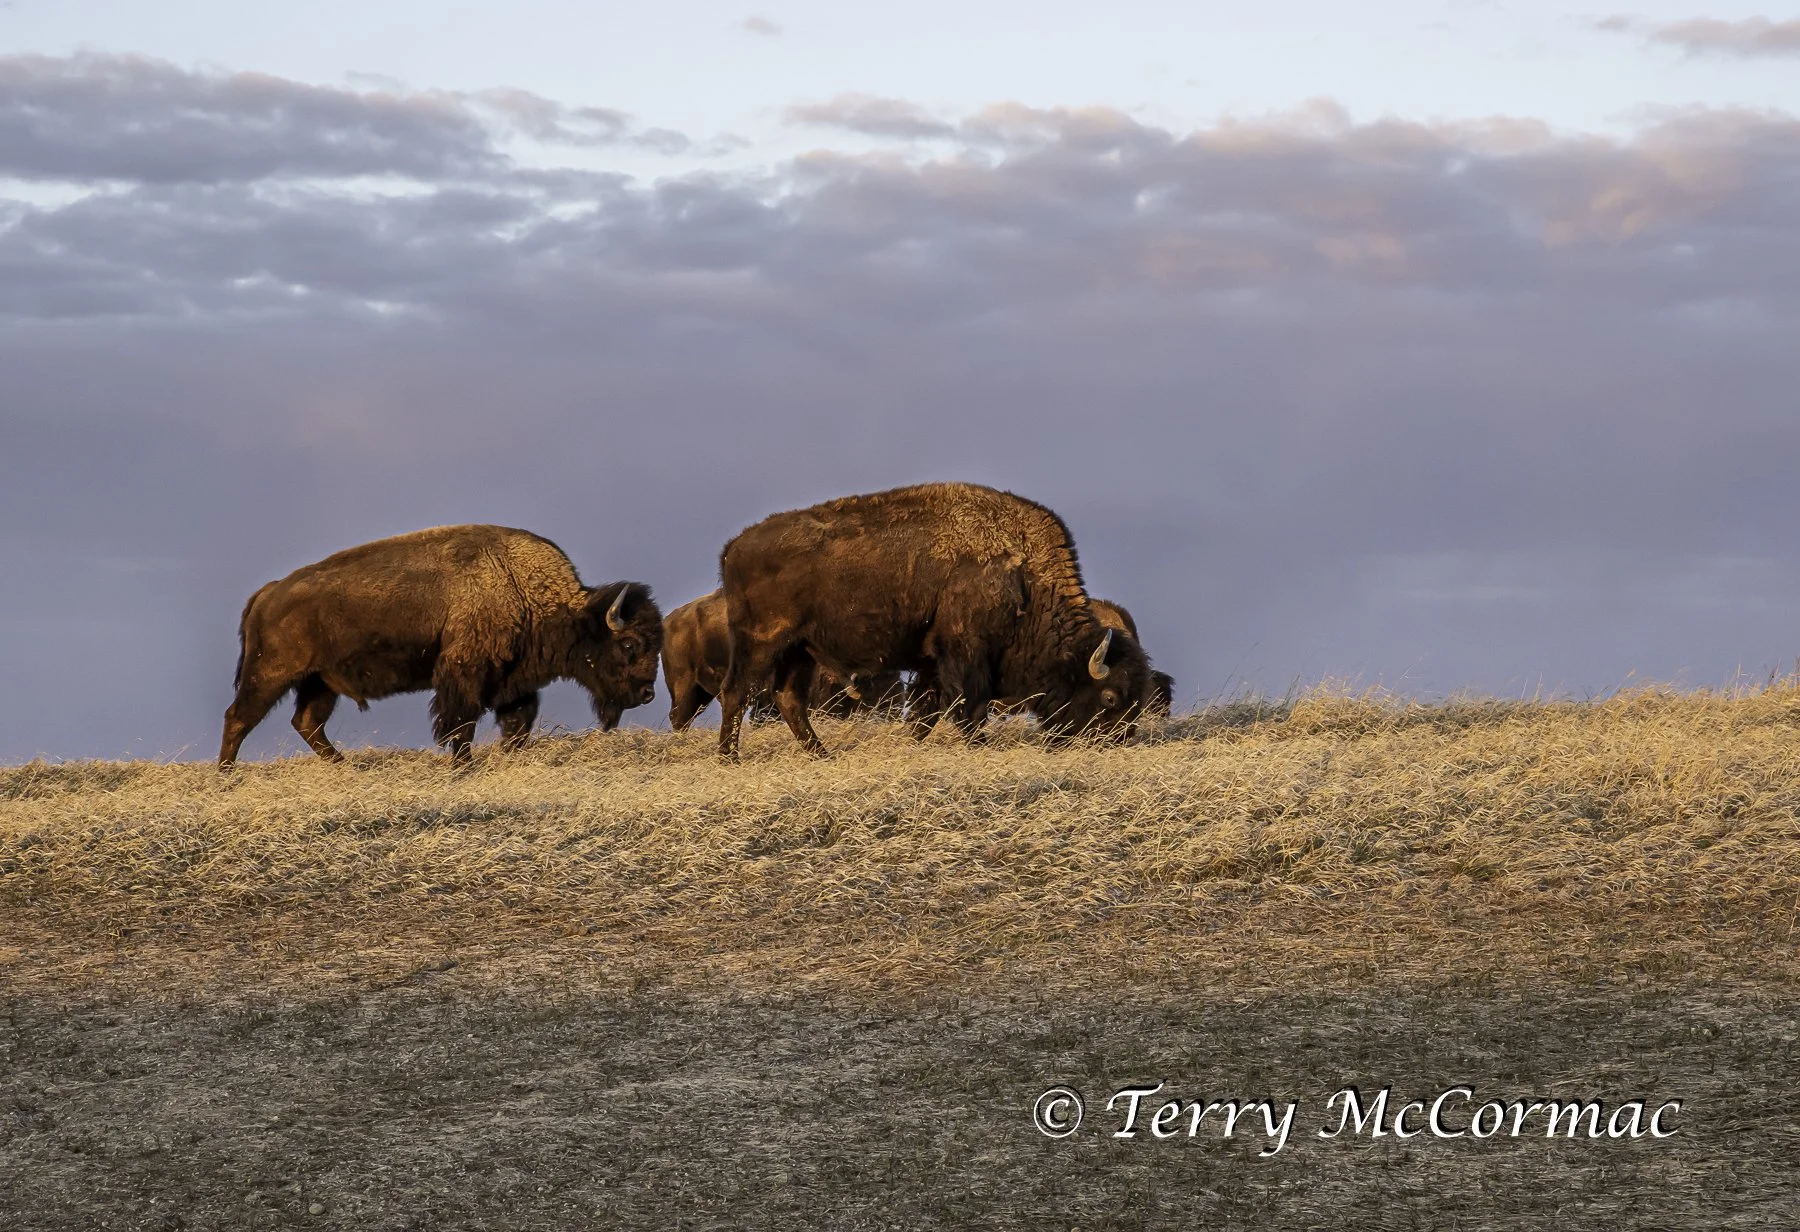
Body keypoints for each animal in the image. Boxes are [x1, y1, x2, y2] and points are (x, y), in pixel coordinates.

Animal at [218, 525, 662, 766]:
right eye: (628, 644)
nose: (647, 694)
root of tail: (269, 592)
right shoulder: (464, 674)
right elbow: (460, 723)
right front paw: (463, 767)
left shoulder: (513, 682)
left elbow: (517, 724)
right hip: (271, 673)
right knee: (239, 717)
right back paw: (226, 775)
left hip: (319, 682)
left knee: (308, 723)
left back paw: (347, 768)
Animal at [714, 482, 1151, 758]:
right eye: (1110, 698)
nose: (1113, 745)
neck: (1024, 576)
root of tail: (733, 547)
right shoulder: (963, 654)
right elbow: (967, 707)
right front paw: (979, 747)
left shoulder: (930, 662)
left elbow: (926, 714)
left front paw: (912, 745)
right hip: (760, 643)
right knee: (736, 693)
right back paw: (729, 758)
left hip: (799, 651)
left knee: (789, 700)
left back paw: (822, 755)